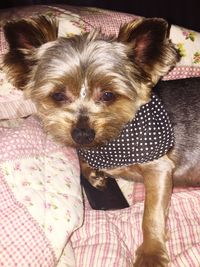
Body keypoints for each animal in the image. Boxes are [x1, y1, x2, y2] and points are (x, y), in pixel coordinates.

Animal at [3, 15, 200, 266]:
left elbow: (151, 213)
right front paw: (95, 175)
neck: (112, 141)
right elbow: (82, 159)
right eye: (58, 95)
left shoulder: (159, 167)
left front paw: (151, 254)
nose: (82, 134)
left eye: (108, 95)